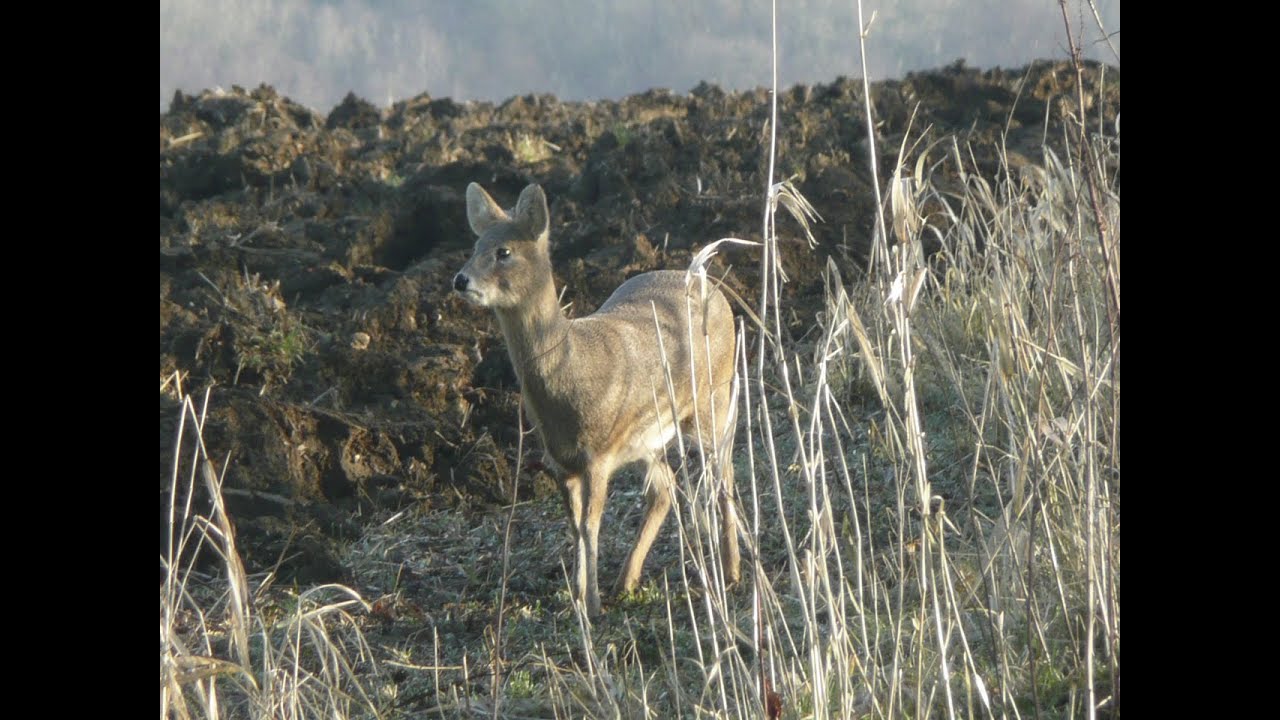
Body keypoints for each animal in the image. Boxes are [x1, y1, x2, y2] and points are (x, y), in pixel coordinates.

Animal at [452, 182, 740, 616]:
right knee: (665, 488)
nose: (460, 279)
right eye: (474, 245)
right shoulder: (561, 460)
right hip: (648, 439)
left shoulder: (599, 454)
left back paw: (732, 571)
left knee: (723, 473)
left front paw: (591, 605)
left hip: (713, 397)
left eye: (504, 251)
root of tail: (711, 286)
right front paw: (578, 595)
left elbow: (590, 525)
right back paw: (627, 581)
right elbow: (575, 526)